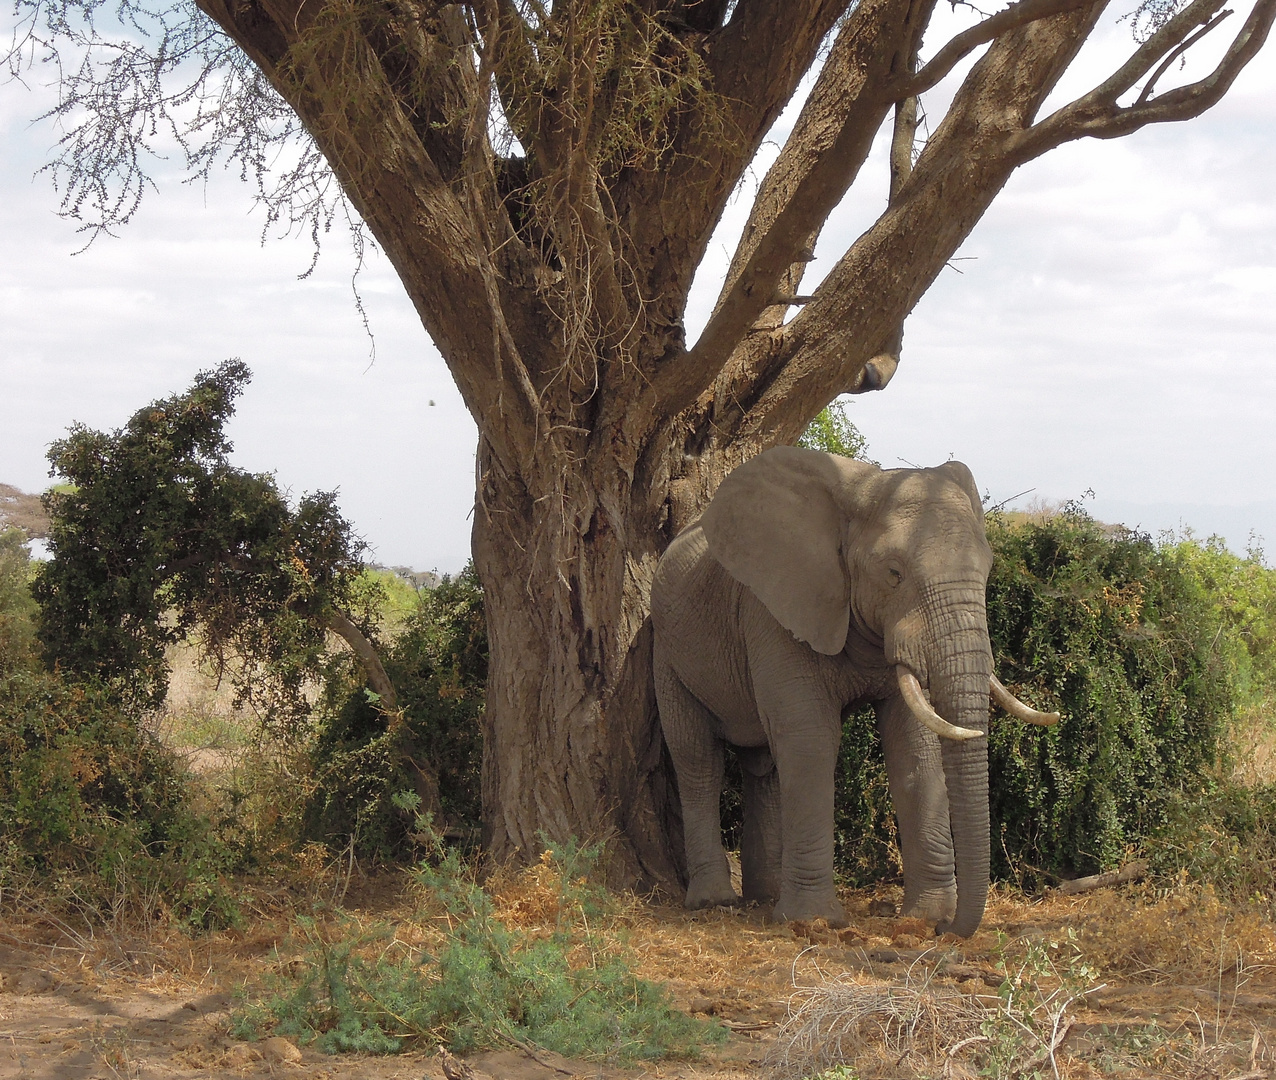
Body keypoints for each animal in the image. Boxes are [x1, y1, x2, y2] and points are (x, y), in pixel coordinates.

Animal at [648, 446, 1056, 939]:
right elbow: (810, 740)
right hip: (667, 649)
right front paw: (812, 921)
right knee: (698, 758)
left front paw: (927, 915)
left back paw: (765, 896)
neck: (863, 489)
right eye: (893, 574)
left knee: (764, 765)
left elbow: (913, 746)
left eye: (989, 570)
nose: (949, 932)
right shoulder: (778, 607)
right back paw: (715, 901)